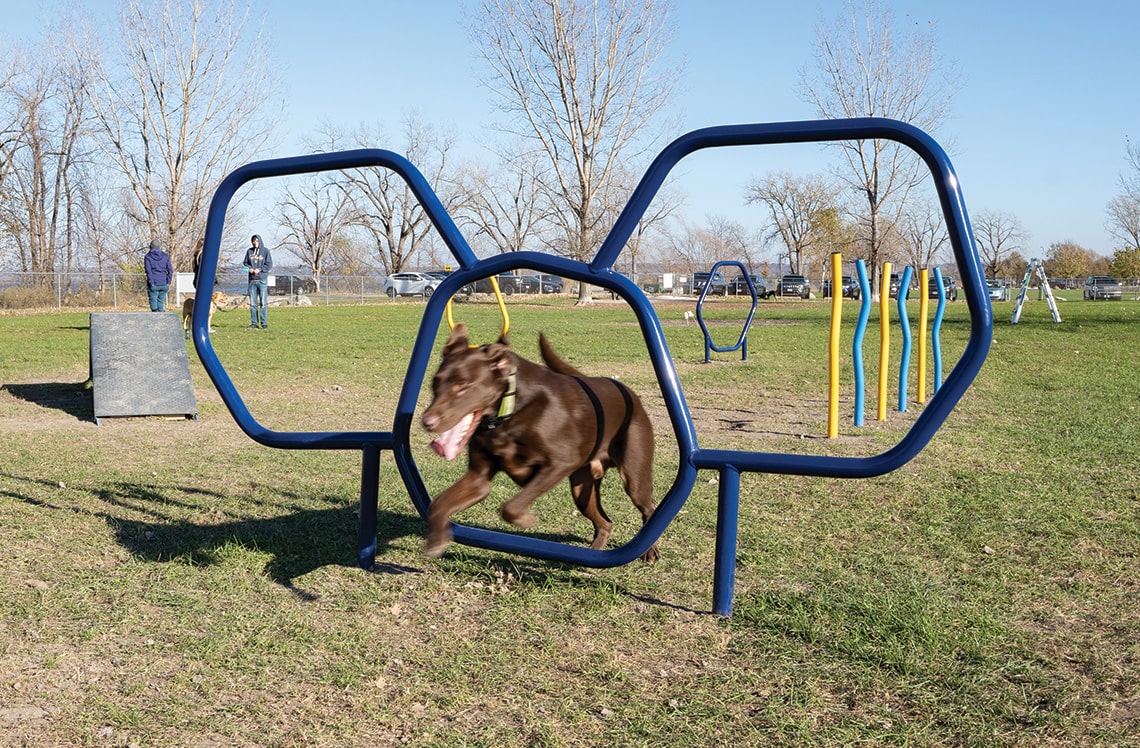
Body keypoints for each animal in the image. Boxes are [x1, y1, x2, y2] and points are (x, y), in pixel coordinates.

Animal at [424, 321, 661, 561]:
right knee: (605, 521)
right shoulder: (478, 479)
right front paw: (436, 540)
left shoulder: (560, 462)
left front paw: (525, 519)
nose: (427, 422)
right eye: (435, 382)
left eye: (463, 384)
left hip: (633, 475)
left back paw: (649, 550)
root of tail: (626, 391)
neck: (511, 410)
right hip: (582, 489)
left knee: (648, 506)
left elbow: (511, 506)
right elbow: (439, 503)